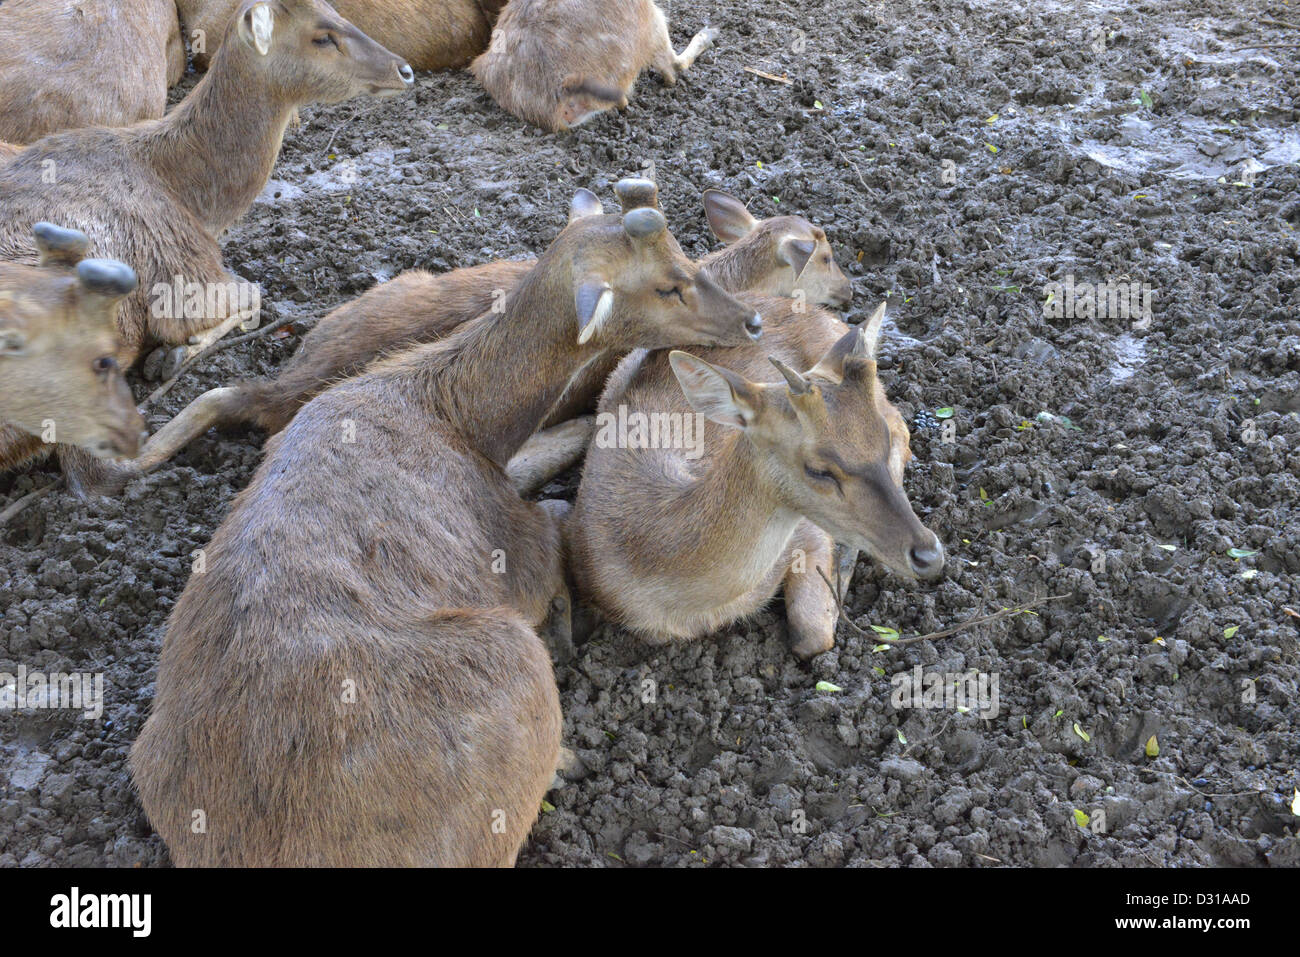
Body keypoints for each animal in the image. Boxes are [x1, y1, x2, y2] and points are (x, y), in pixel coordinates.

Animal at [128, 178, 762, 867]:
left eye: (686, 253)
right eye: (668, 285)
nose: (751, 319)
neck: (459, 418)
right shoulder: (518, 549)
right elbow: (557, 520)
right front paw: (570, 634)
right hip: (509, 661)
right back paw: (568, 755)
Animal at [568, 300, 946, 661]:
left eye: (881, 443)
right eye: (818, 469)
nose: (929, 555)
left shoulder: (809, 534)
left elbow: (814, 637)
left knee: (901, 422)